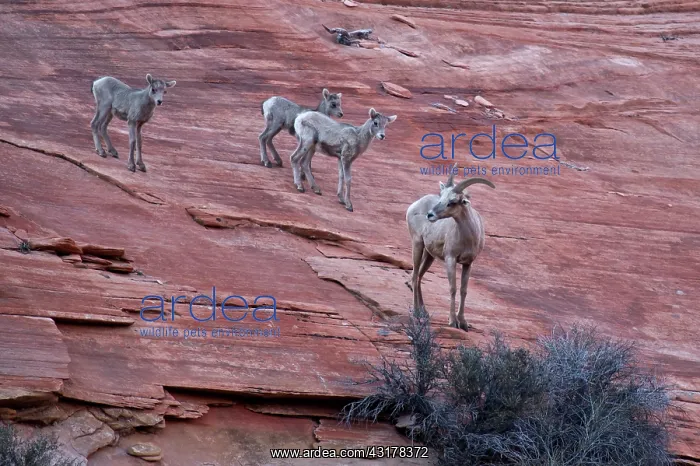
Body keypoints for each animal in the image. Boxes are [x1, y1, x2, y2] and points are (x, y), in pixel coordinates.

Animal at [405, 172, 495, 330]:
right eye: (441, 196)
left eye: (452, 201)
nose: (430, 215)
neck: (467, 237)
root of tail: (414, 205)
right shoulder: (450, 259)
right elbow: (453, 288)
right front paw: (453, 322)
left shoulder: (468, 263)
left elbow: (463, 290)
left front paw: (463, 323)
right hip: (417, 244)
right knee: (415, 275)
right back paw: (416, 312)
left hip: (429, 255)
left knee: (420, 276)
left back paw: (424, 312)